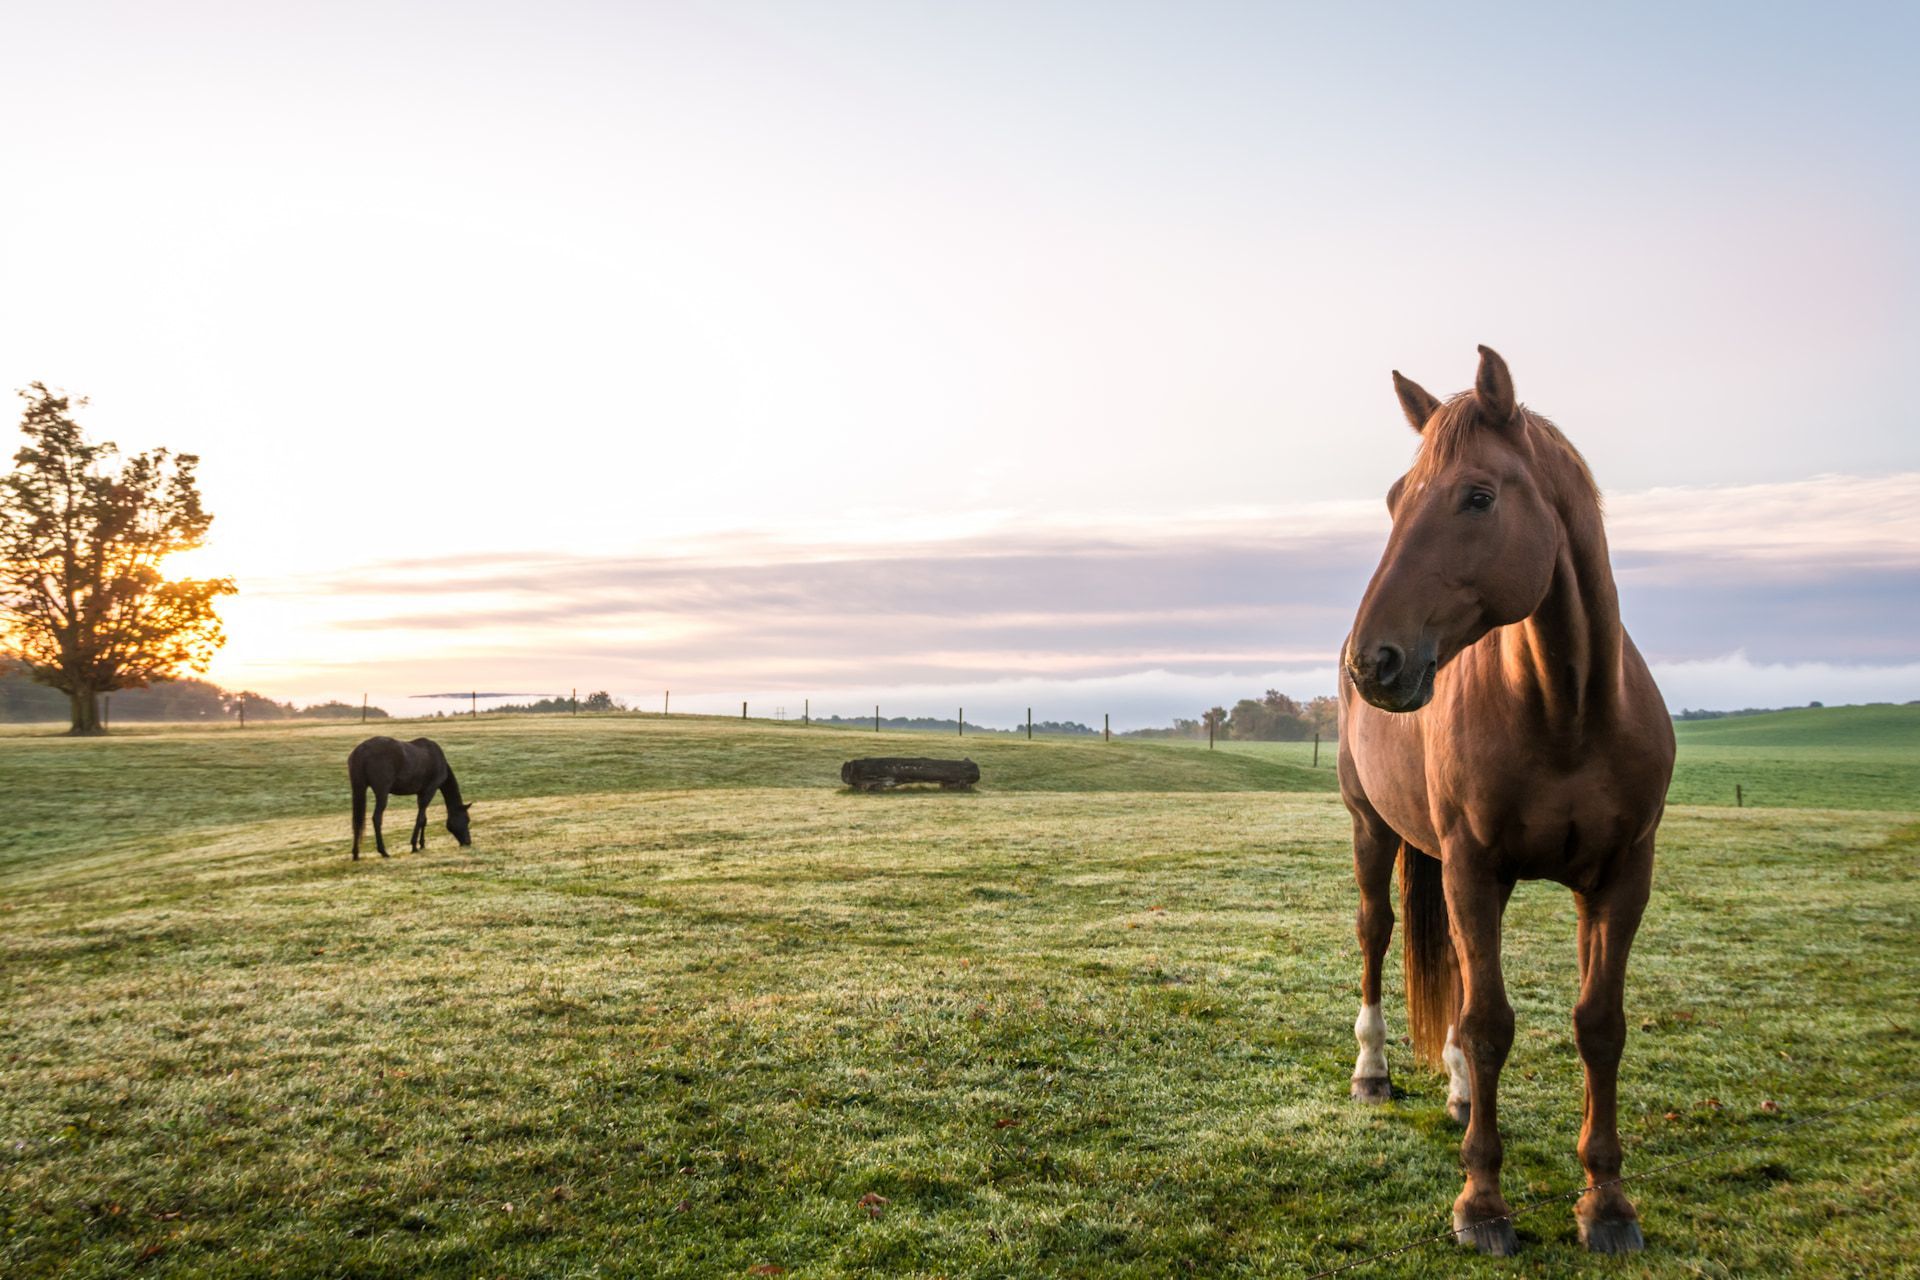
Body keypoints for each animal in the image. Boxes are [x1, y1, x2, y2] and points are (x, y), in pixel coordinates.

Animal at [1338, 346, 1674, 1256]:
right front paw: (1482, 1203)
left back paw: (1457, 1095)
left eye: (1478, 496)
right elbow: (1490, 1025)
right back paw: (1373, 1073)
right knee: (1378, 934)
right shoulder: (1472, 868)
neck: (1567, 710)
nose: (1371, 661)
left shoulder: (1621, 878)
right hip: (1373, 830)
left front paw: (1607, 1201)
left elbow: (1599, 1025)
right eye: (1395, 498)